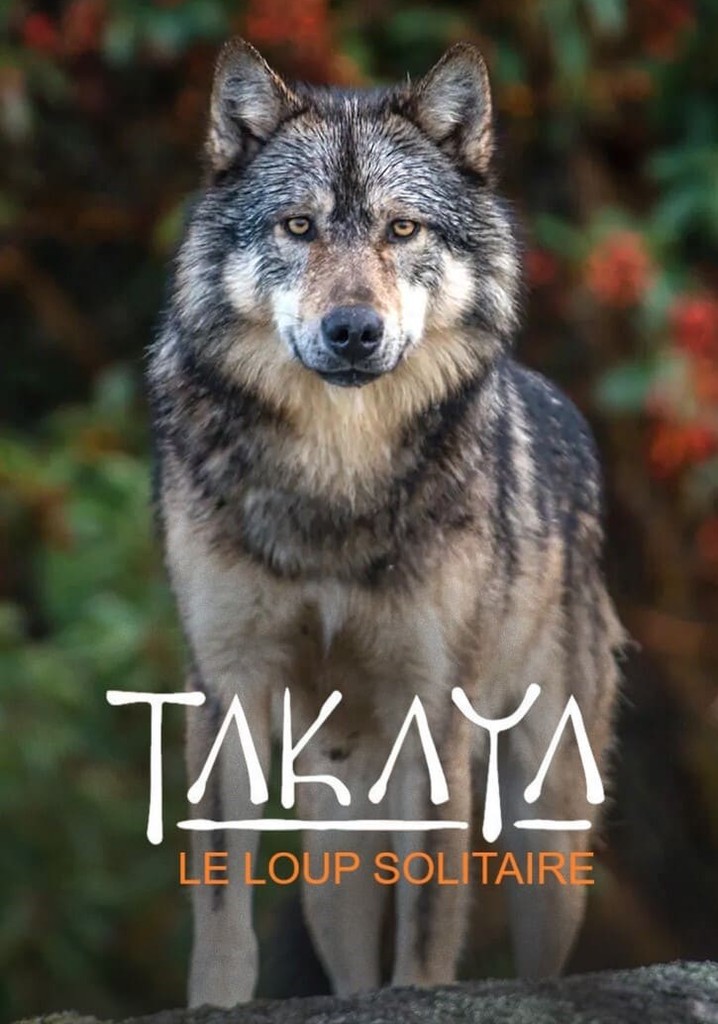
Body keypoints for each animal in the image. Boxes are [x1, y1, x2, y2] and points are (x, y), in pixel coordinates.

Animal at [148, 38, 625, 1008]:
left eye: (402, 231)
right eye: (298, 227)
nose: (353, 331)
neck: (339, 475)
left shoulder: (436, 707)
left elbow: (432, 914)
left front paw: (428, 986)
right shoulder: (227, 685)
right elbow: (221, 911)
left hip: (547, 832)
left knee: (539, 952)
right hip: (335, 831)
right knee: (347, 956)